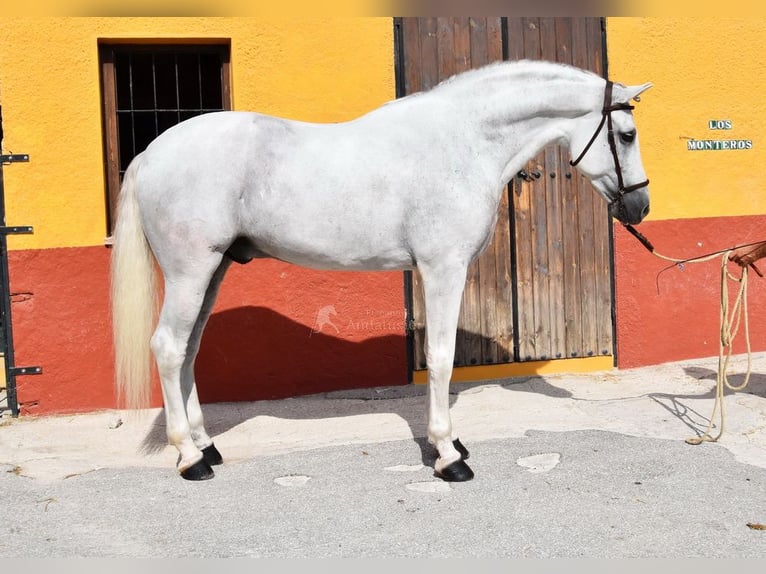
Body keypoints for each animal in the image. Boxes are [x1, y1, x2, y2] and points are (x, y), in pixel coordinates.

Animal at [110, 59, 652, 481]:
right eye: (627, 135)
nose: (641, 207)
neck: (463, 143)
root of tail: (151, 153)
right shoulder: (443, 268)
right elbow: (440, 357)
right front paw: (448, 455)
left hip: (214, 269)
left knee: (189, 350)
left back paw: (206, 445)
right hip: (191, 271)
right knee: (169, 348)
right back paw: (190, 458)